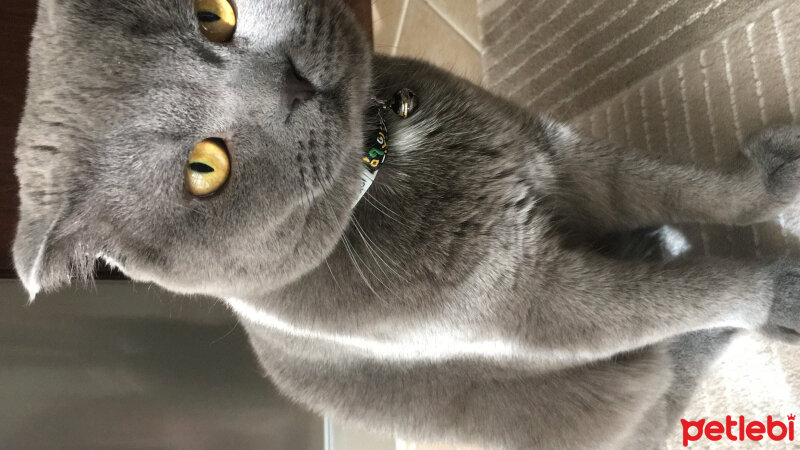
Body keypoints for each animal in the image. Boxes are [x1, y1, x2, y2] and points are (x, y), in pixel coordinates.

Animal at [10, 0, 800, 450]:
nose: (294, 79)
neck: (385, 155)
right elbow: (691, 293)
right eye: (204, 170)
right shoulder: (539, 305)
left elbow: (679, 185)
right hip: (614, 399)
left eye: (215, 13)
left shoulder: (558, 152)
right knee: (670, 360)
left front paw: (773, 181)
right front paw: (774, 290)